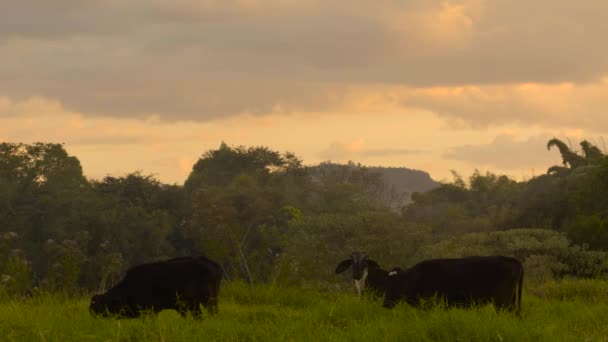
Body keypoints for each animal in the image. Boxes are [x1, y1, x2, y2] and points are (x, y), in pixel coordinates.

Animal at [89, 255, 222, 320]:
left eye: (101, 304)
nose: (92, 313)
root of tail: (213, 264)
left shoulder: (149, 311)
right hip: (196, 305)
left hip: (208, 301)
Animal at [384, 255, 524, 314]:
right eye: (387, 283)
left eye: (396, 284)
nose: (384, 304)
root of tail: (510, 259)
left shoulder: (430, 304)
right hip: (510, 299)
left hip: (502, 300)